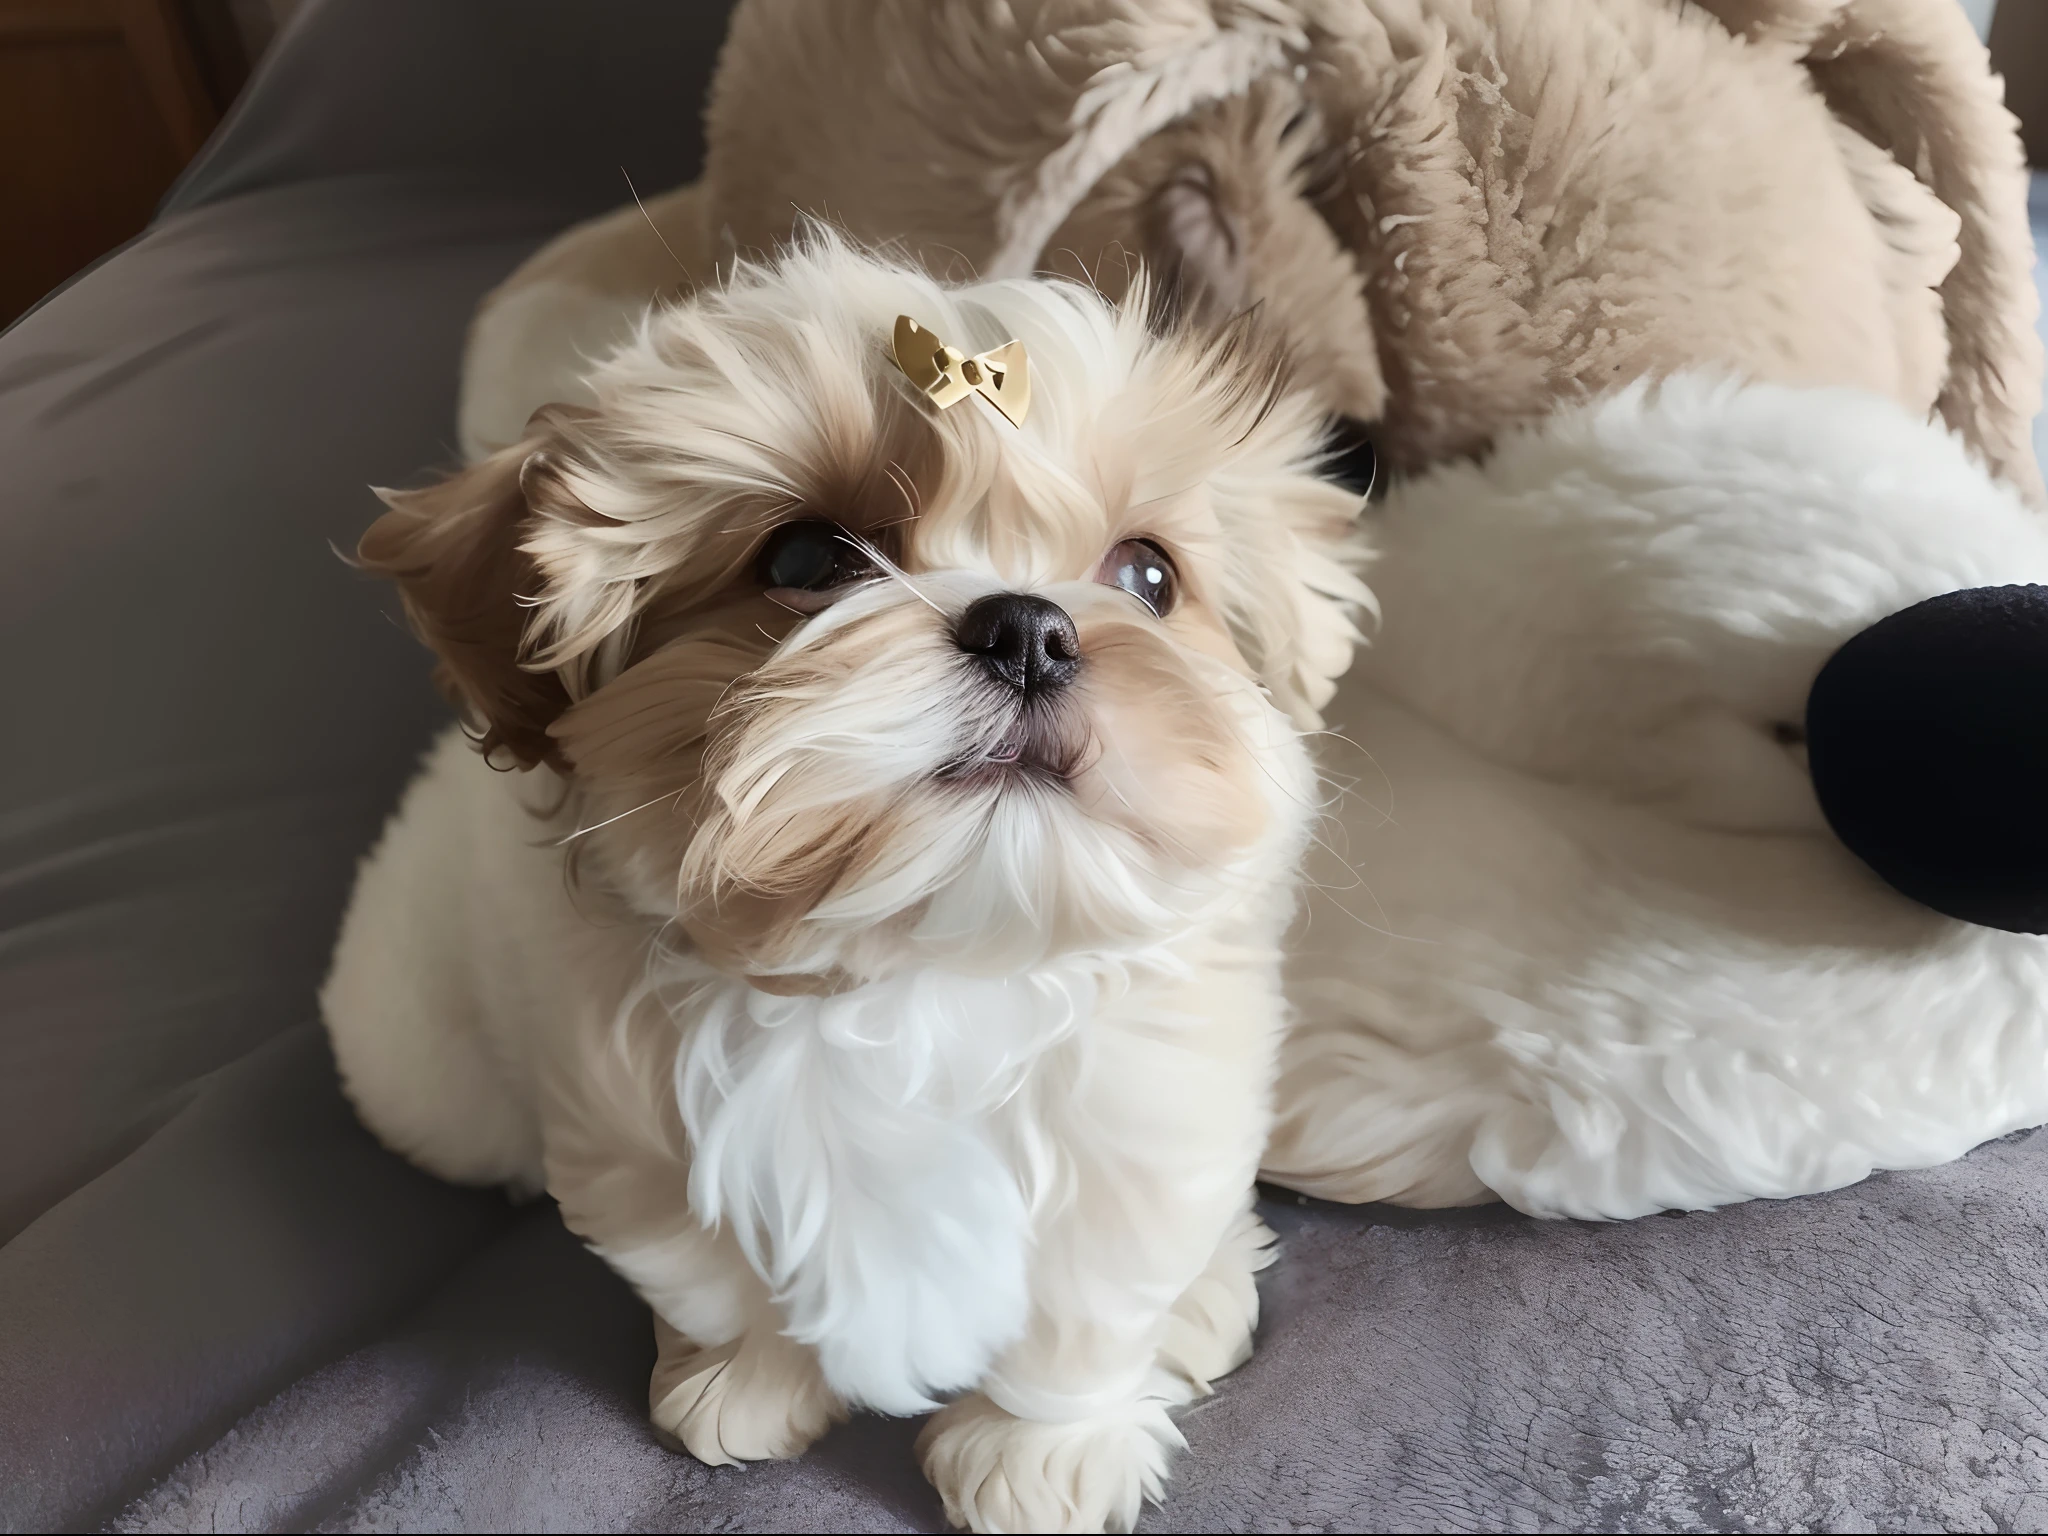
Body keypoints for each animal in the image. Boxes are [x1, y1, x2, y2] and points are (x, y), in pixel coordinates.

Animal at [319, 234, 1368, 1531]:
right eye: (808, 558)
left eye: (1149, 578)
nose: (1029, 630)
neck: (925, 974)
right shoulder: (634, 1145)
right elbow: (714, 1274)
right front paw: (747, 1380)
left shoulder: (1151, 1123)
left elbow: (1086, 1302)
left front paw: (1041, 1455)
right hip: (426, 1082)